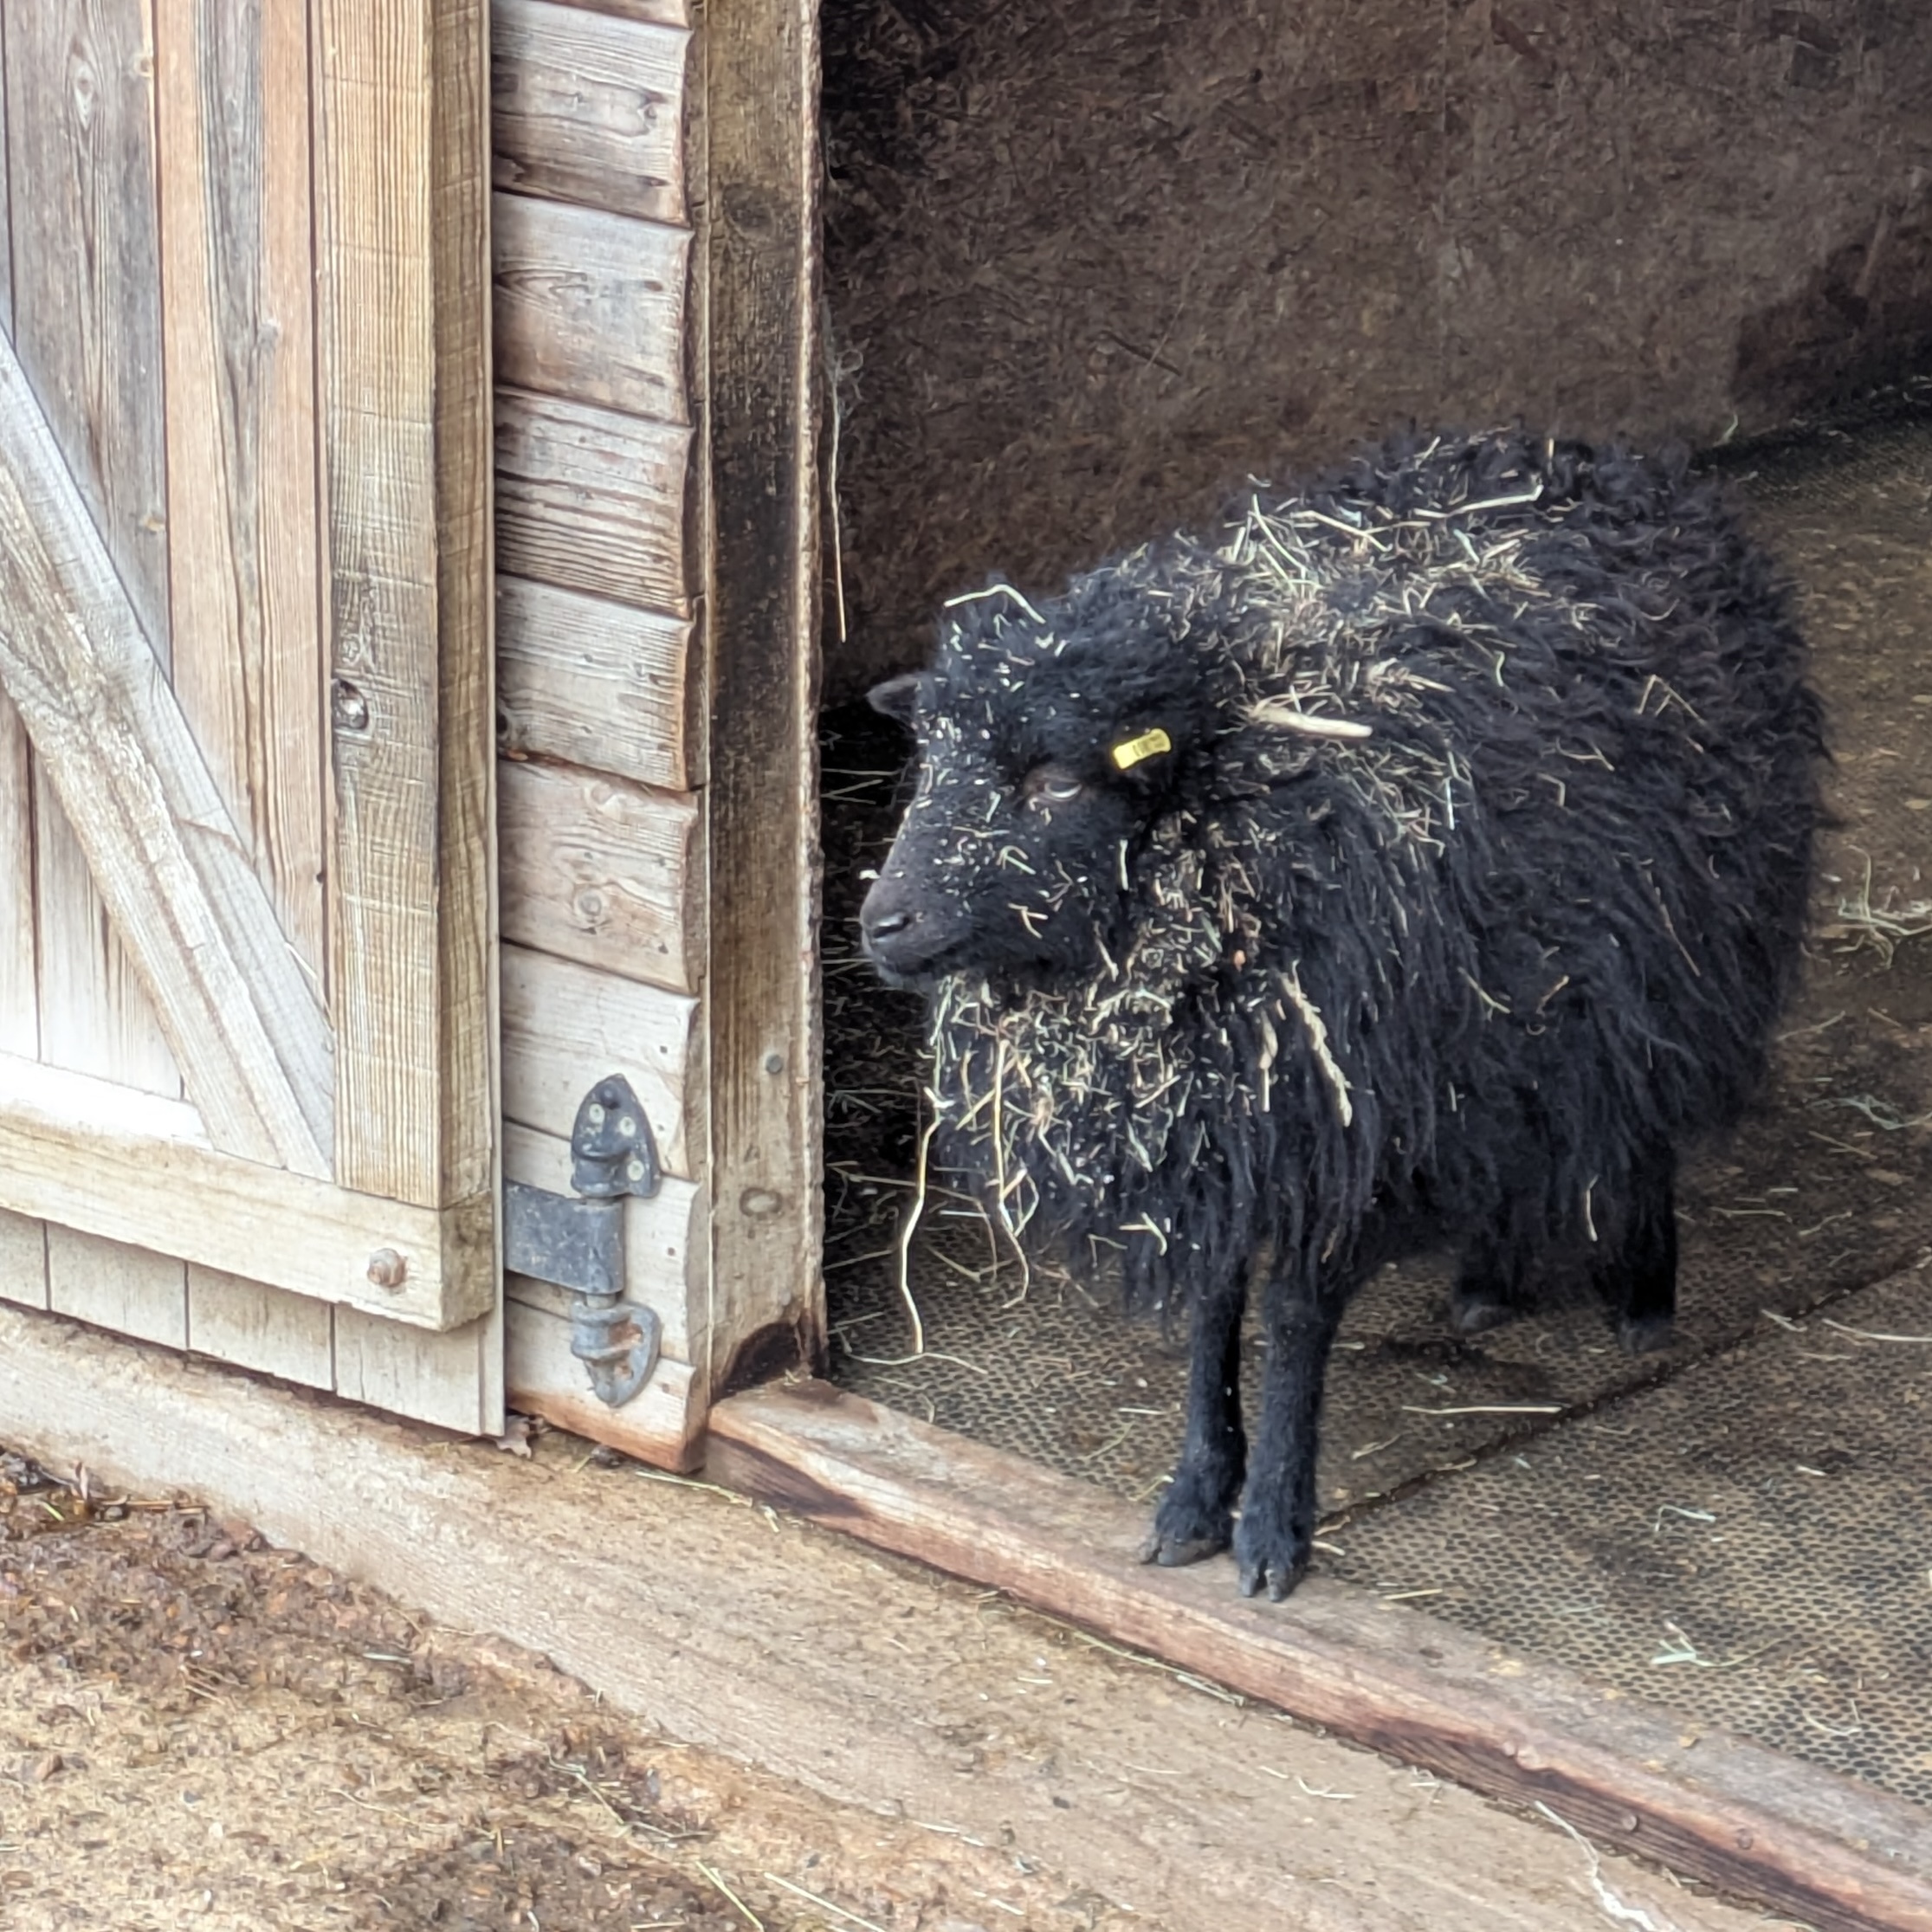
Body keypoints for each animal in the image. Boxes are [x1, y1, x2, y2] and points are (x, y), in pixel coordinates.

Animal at [859, 428, 1825, 1601]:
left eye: (1052, 781)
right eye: (930, 764)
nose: (880, 921)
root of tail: (1609, 460)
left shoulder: (1338, 1128)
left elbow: (1291, 1317)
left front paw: (1272, 1524)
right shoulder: (1227, 1138)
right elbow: (1211, 1313)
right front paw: (1192, 1496)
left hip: (1667, 952)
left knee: (1642, 1095)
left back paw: (1642, 1290)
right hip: (1507, 1018)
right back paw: (1486, 1279)